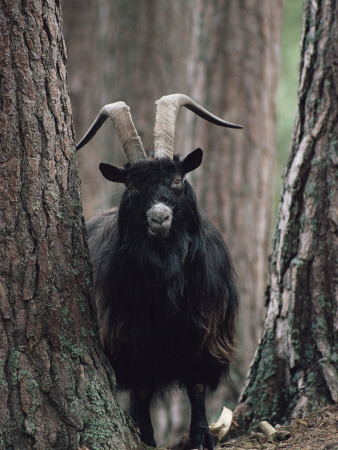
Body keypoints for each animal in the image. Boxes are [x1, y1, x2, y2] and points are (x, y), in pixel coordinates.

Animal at [76, 93, 243, 448]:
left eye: (178, 179)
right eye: (133, 185)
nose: (159, 217)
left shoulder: (205, 333)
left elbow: (196, 387)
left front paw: (202, 436)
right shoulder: (129, 338)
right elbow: (141, 389)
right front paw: (146, 437)